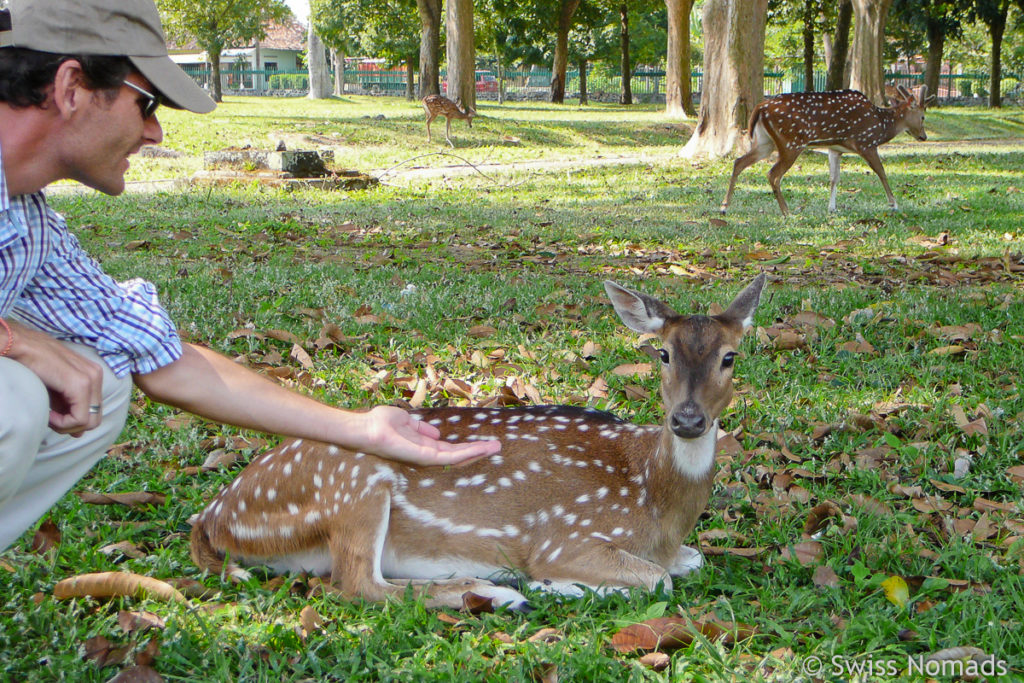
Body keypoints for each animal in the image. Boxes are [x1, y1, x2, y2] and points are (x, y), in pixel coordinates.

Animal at [190, 274, 770, 610]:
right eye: (663, 354)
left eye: (730, 356)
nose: (688, 420)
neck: (654, 499)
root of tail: (213, 517)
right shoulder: (565, 537)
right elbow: (658, 581)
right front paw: (552, 585)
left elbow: (690, 564)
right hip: (355, 479)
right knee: (357, 583)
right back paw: (497, 592)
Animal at [720, 85, 929, 215]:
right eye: (923, 116)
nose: (924, 136)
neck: (881, 125)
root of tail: (760, 108)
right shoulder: (866, 142)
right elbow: (881, 172)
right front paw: (894, 204)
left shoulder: (835, 148)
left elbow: (834, 178)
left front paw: (832, 208)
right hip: (791, 143)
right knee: (773, 174)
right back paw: (787, 212)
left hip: (765, 143)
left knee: (739, 162)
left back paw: (724, 207)